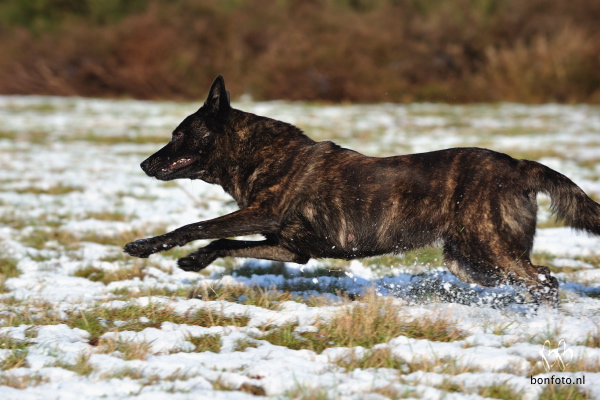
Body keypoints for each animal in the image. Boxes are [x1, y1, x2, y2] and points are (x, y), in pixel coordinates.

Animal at [124, 75, 600, 306]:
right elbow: (222, 241)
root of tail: (519, 166)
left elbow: (198, 225)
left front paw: (146, 246)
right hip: (469, 262)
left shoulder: (263, 213)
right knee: (540, 278)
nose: (144, 164)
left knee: (546, 281)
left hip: (491, 250)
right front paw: (194, 262)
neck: (254, 152)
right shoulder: (291, 248)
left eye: (179, 135)